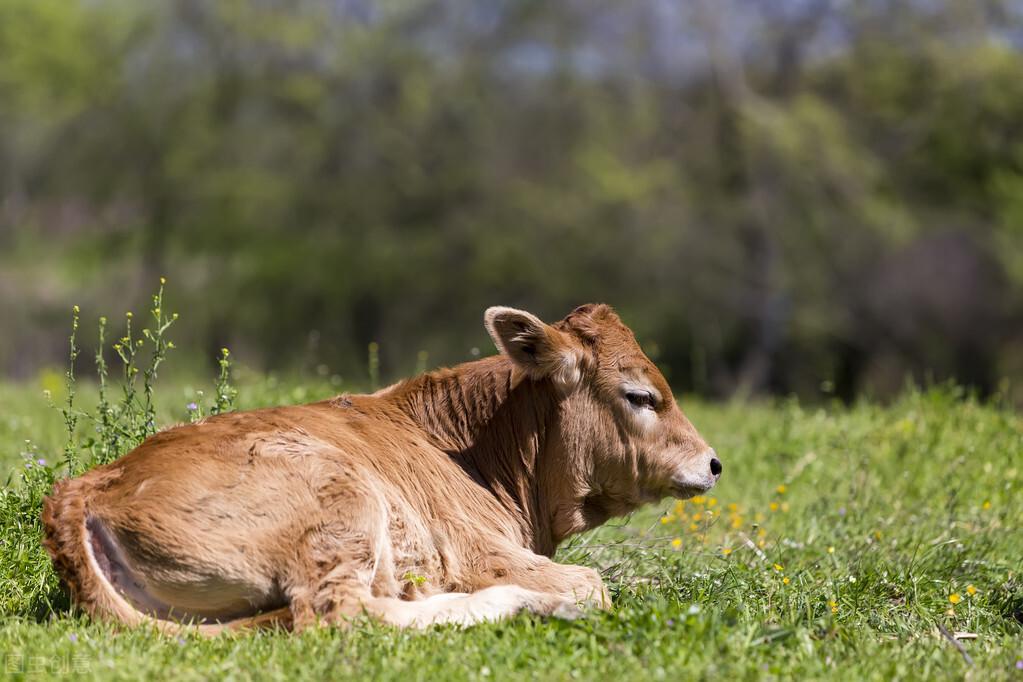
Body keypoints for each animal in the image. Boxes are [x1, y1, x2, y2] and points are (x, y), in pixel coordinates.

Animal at [43, 304, 720, 633]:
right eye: (640, 395)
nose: (713, 463)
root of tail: (83, 488)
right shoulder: (480, 550)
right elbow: (592, 582)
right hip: (338, 504)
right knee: (340, 613)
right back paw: (524, 605)